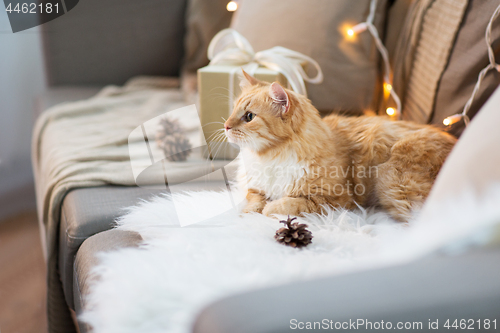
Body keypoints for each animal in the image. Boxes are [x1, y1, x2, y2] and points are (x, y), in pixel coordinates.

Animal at [224, 70, 458, 220]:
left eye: (249, 116)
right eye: (232, 111)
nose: (225, 126)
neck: (270, 156)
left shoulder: (335, 199)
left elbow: (288, 203)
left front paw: (268, 209)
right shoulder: (255, 186)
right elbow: (253, 199)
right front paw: (249, 213)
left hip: (394, 182)